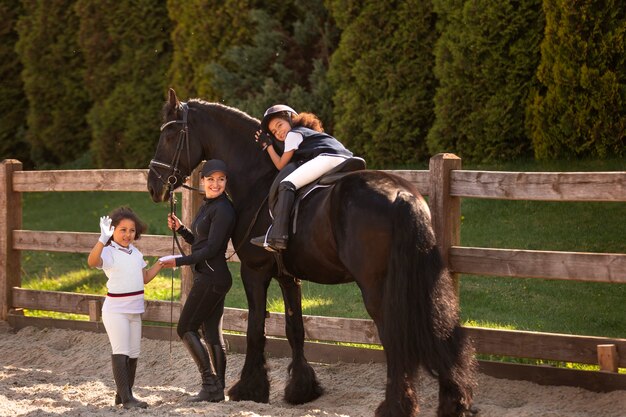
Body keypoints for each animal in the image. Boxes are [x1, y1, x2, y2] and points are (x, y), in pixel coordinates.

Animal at [146, 88, 476, 416]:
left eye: (170, 135)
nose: (153, 187)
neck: (257, 179)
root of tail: (401, 195)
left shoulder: (254, 272)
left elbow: (255, 329)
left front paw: (249, 389)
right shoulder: (288, 277)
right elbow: (295, 329)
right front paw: (301, 390)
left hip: (378, 289)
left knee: (395, 337)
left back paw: (396, 405)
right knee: (440, 331)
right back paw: (453, 401)